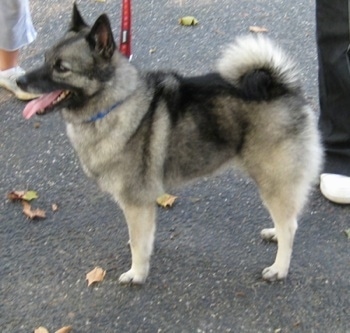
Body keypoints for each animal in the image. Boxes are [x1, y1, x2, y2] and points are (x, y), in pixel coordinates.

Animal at [16, 3, 322, 284]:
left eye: (61, 68)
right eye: (45, 58)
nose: (19, 80)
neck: (116, 102)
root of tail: (282, 87)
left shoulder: (136, 202)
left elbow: (138, 243)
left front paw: (136, 273)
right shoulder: (143, 207)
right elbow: (142, 238)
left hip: (273, 179)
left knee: (290, 226)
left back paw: (279, 268)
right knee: (287, 219)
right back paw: (274, 233)